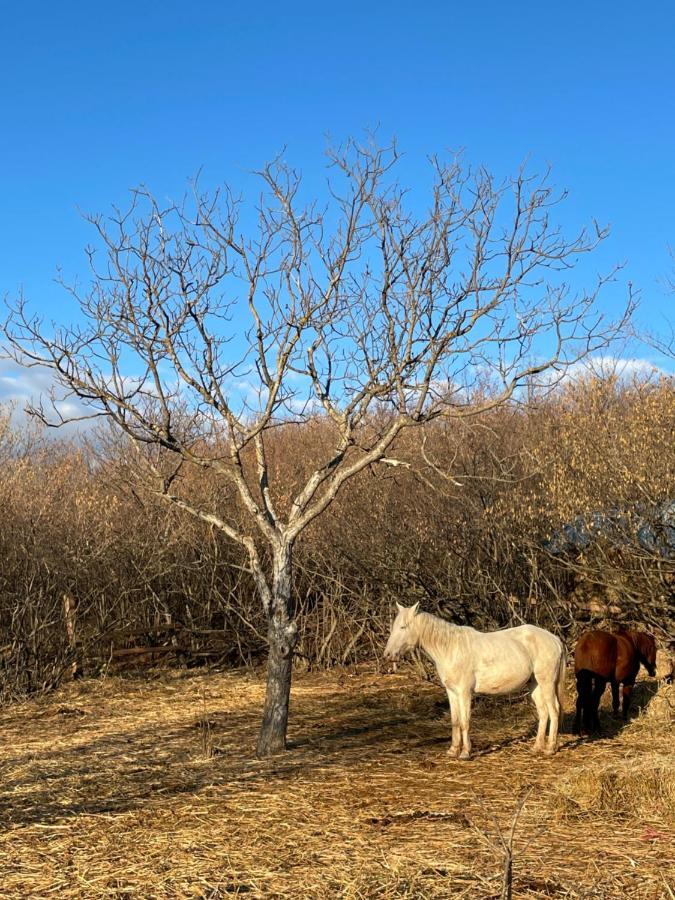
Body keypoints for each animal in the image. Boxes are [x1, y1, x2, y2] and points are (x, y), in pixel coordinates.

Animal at [386, 604, 564, 760]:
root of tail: (555, 639)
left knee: (554, 711)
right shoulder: (451, 692)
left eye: (403, 627)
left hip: (547, 682)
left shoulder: (464, 692)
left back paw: (550, 748)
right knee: (543, 712)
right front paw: (453, 751)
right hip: (535, 684)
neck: (451, 649)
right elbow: (455, 721)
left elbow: (465, 721)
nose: (387, 655)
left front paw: (465, 753)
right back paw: (537, 747)